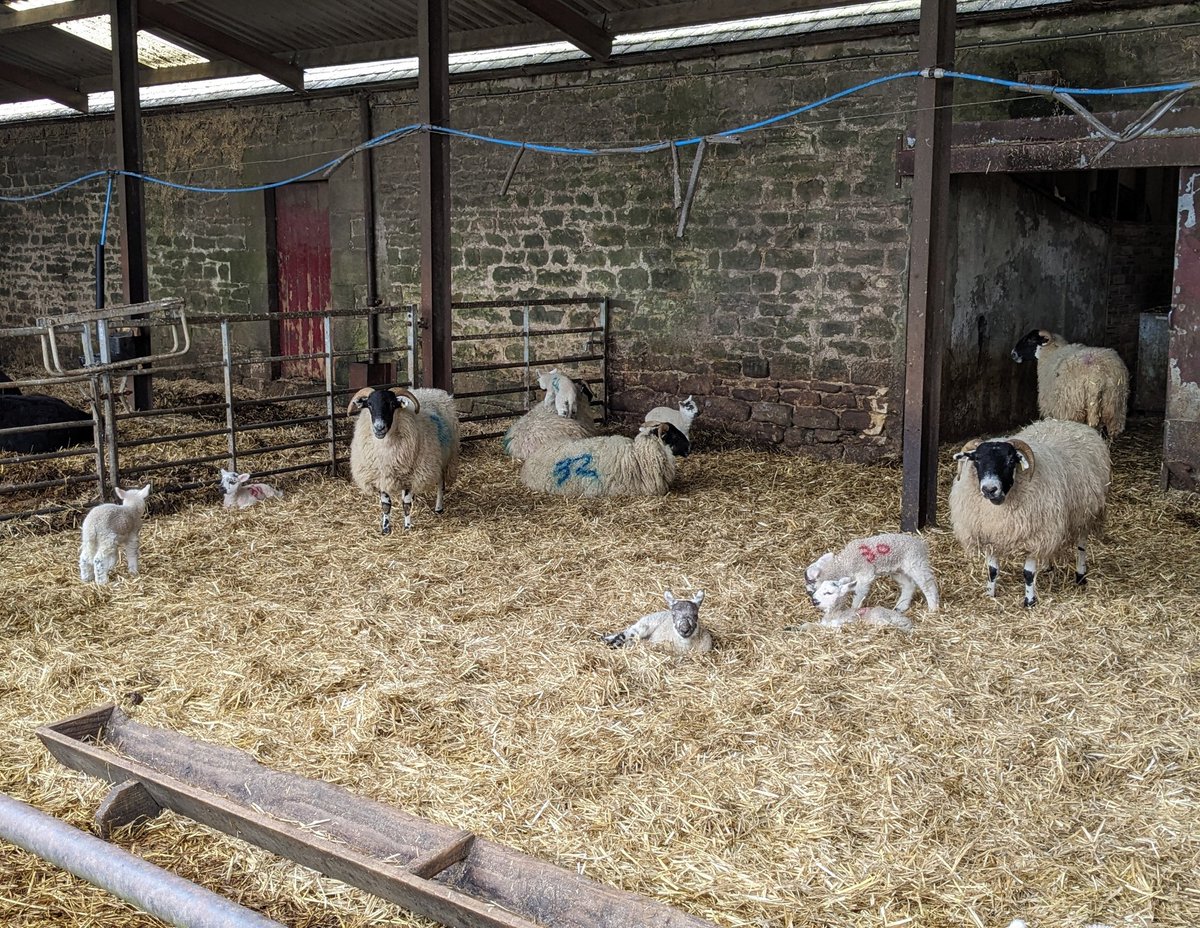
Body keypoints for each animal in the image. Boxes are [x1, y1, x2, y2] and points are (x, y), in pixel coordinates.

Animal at [350, 386, 460, 533]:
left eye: (392, 404)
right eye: (370, 405)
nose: (379, 427)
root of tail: (431, 390)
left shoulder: (410, 476)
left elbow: (406, 504)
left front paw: (407, 527)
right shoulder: (381, 476)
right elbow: (386, 505)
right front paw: (386, 528)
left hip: (444, 458)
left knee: (440, 485)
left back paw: (439, 508)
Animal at [806, 533, 936, 612]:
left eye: (827, 592)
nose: (814, 601)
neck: (845, 563)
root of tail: (922, 545)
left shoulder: (865, 574)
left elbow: (859, 592)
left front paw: (854, 609)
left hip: (915, 562)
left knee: (928, 584)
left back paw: (933, 608)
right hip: (897, 569)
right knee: (908, 584)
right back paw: (901, 606)